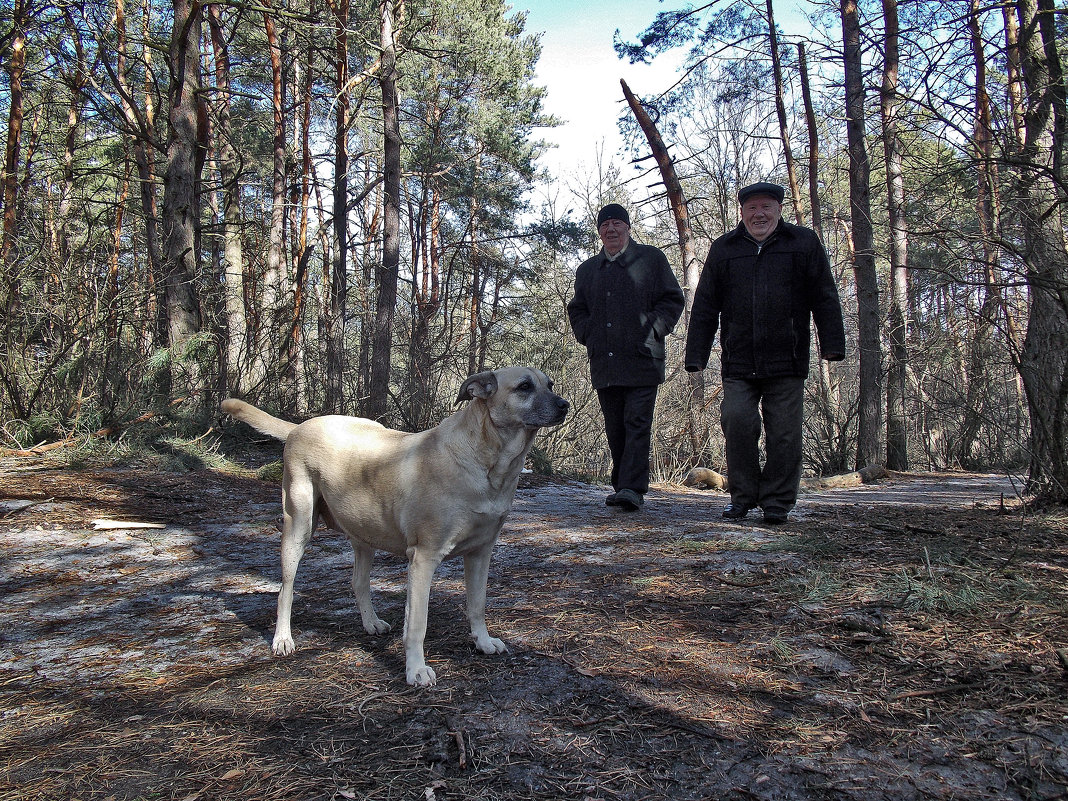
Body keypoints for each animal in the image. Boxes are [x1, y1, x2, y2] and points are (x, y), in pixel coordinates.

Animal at [222, 369, 572, 692]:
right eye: (524, 386)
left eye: (551, 384)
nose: (565, 405)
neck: (489, 462)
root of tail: (300, 427)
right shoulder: (424, 559)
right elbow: (417, 624)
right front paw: (416, 670)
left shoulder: (480, 553)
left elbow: (477, 604)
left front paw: (483, 642)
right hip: (298, 525)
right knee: (286, 588)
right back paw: (283, 638)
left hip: (364, 532)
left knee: (358, 582)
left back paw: (370, 621)